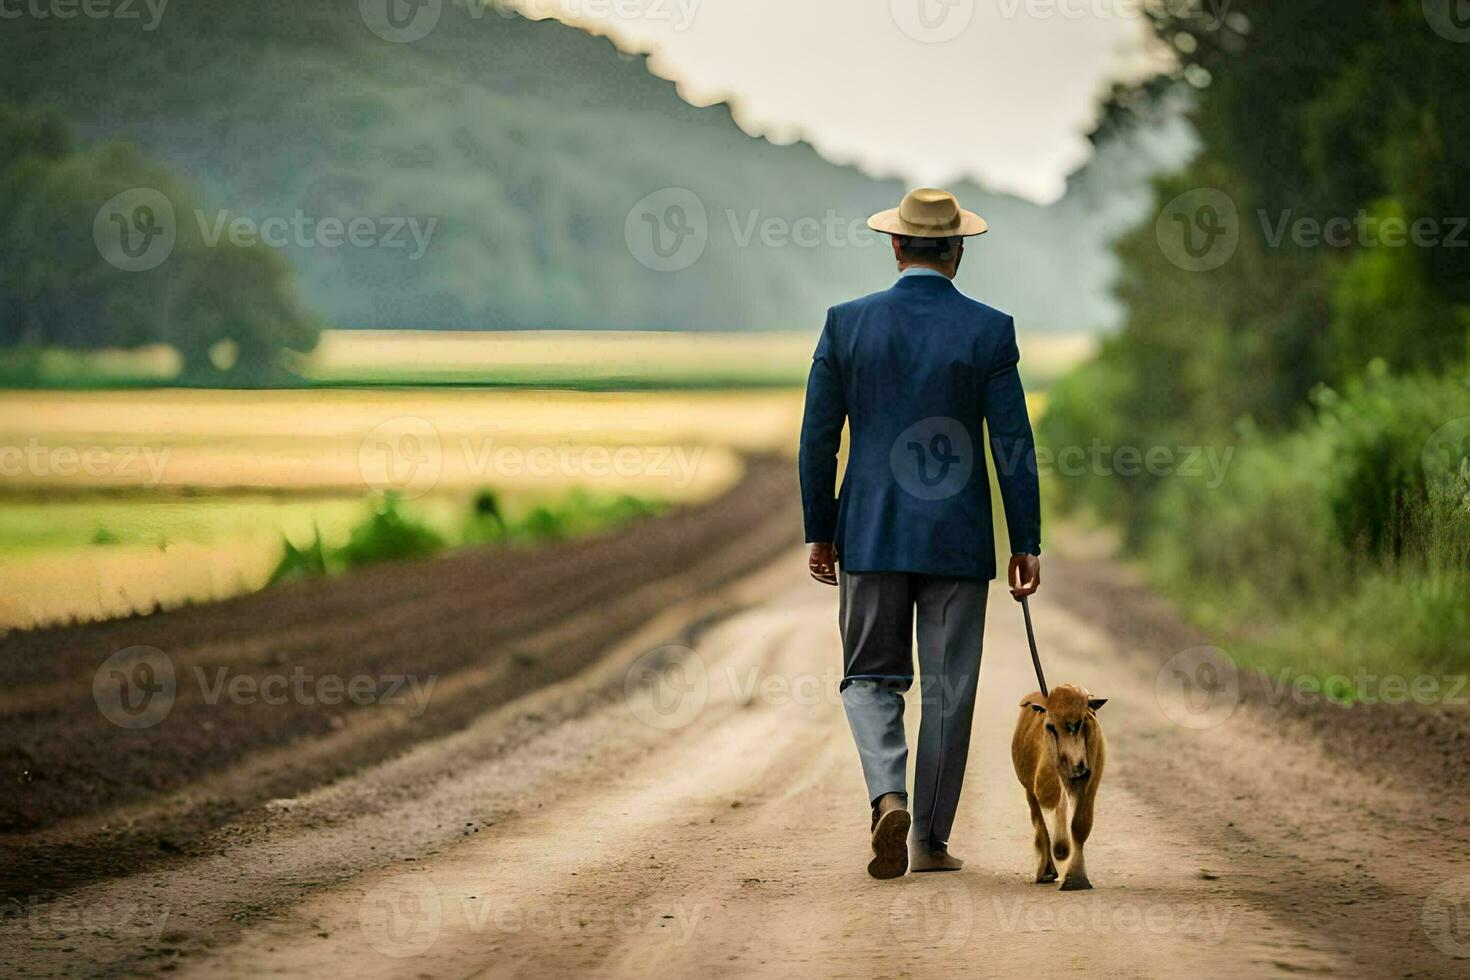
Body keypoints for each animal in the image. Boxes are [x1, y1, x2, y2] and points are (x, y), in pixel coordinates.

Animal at [1011, 687, 1105, 893]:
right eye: (1051, 726)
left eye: (1082, 722)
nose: (1078, 766)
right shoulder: (1044, 785)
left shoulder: (1088, 782)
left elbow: (1080, 825)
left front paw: (1076, 878)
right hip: (1029, 789)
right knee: (1041, 824)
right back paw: (1047, 869)